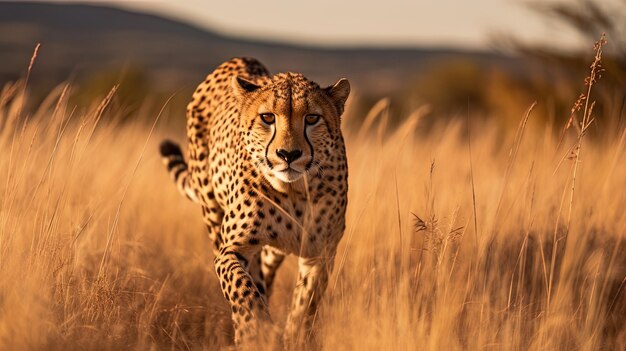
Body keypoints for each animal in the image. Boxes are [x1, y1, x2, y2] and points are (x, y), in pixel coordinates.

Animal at [158, 56, 348, 348]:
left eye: (312, 118)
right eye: (267, 118)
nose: (288, 154)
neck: (294, 192)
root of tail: (240, 60)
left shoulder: (320, 254)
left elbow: (305, 304)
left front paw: (294, 337)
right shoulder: (230, 250)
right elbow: (242, 289)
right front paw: (253, 332)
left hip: (275, 249)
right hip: (212, 212)